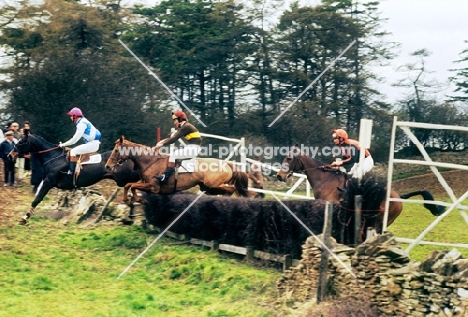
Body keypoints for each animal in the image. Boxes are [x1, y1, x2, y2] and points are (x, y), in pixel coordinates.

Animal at [10, 130, 140, 223]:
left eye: (21, 142)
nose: (10, 155)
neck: (53, 158)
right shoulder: (47, 181)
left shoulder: (48, 182)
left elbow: (37, 199)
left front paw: (24, 218)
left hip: (124, 178)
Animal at [103, 135, 250, 204]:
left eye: (116, 150)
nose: (107, 166)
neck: (150, 161)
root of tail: (227, 164)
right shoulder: (147, 185)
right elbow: (129, 185)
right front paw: (128, 199)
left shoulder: (153, 187)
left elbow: (132, 185)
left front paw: (138, 200)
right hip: (206, 187)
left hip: (213, 184)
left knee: (231, 189)